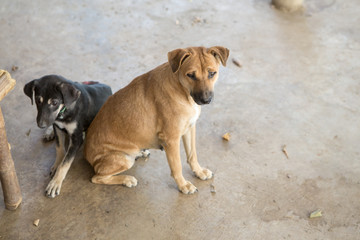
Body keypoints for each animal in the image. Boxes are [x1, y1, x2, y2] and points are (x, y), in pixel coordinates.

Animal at [84, 46, 228, 194]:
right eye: (190, 75)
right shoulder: (171, 139)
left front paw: (199, 172)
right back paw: (126, 179)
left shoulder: (190, 128)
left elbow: (192, 155)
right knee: (96, 177)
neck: (182, 90)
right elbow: (177, 166)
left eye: (212, 73)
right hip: (124, 159)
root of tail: (86, 153)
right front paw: (183, 185)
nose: (206, 100)